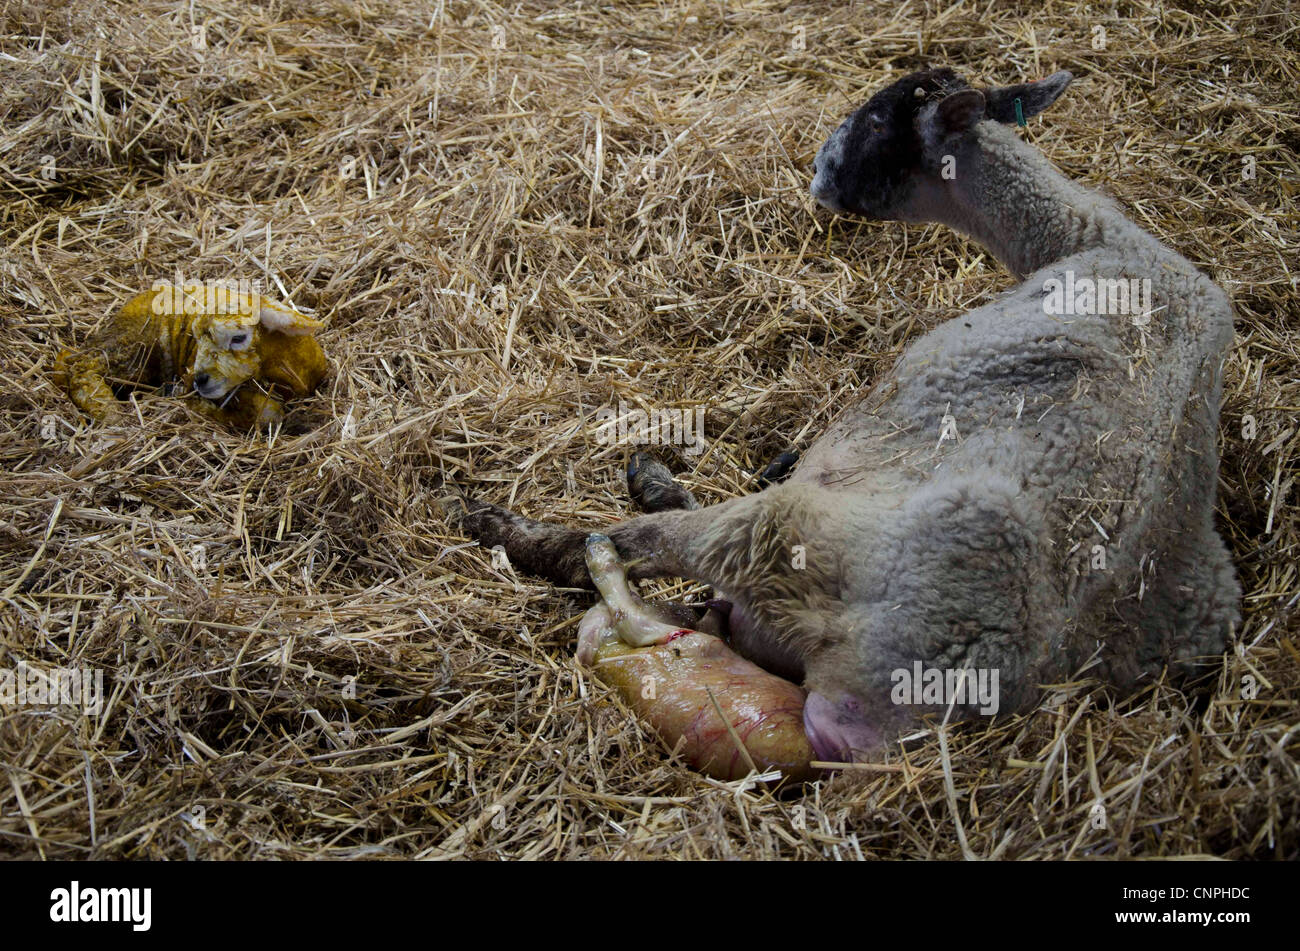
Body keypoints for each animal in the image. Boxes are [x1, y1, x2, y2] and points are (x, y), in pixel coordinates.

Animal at [54, 281, 330, 431]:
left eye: (238, 338)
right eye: (197, 339)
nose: (200, 380)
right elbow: (270, 412)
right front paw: (202, 408)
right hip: (132, 347)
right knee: (82, 367)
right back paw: (108, 409)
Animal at [467, 66, 1237, 769]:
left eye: (873, 121)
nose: (815, 169)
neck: (1092, 239)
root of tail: (892, 713)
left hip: (792, 533)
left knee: (636, 550)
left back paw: (512, 524)